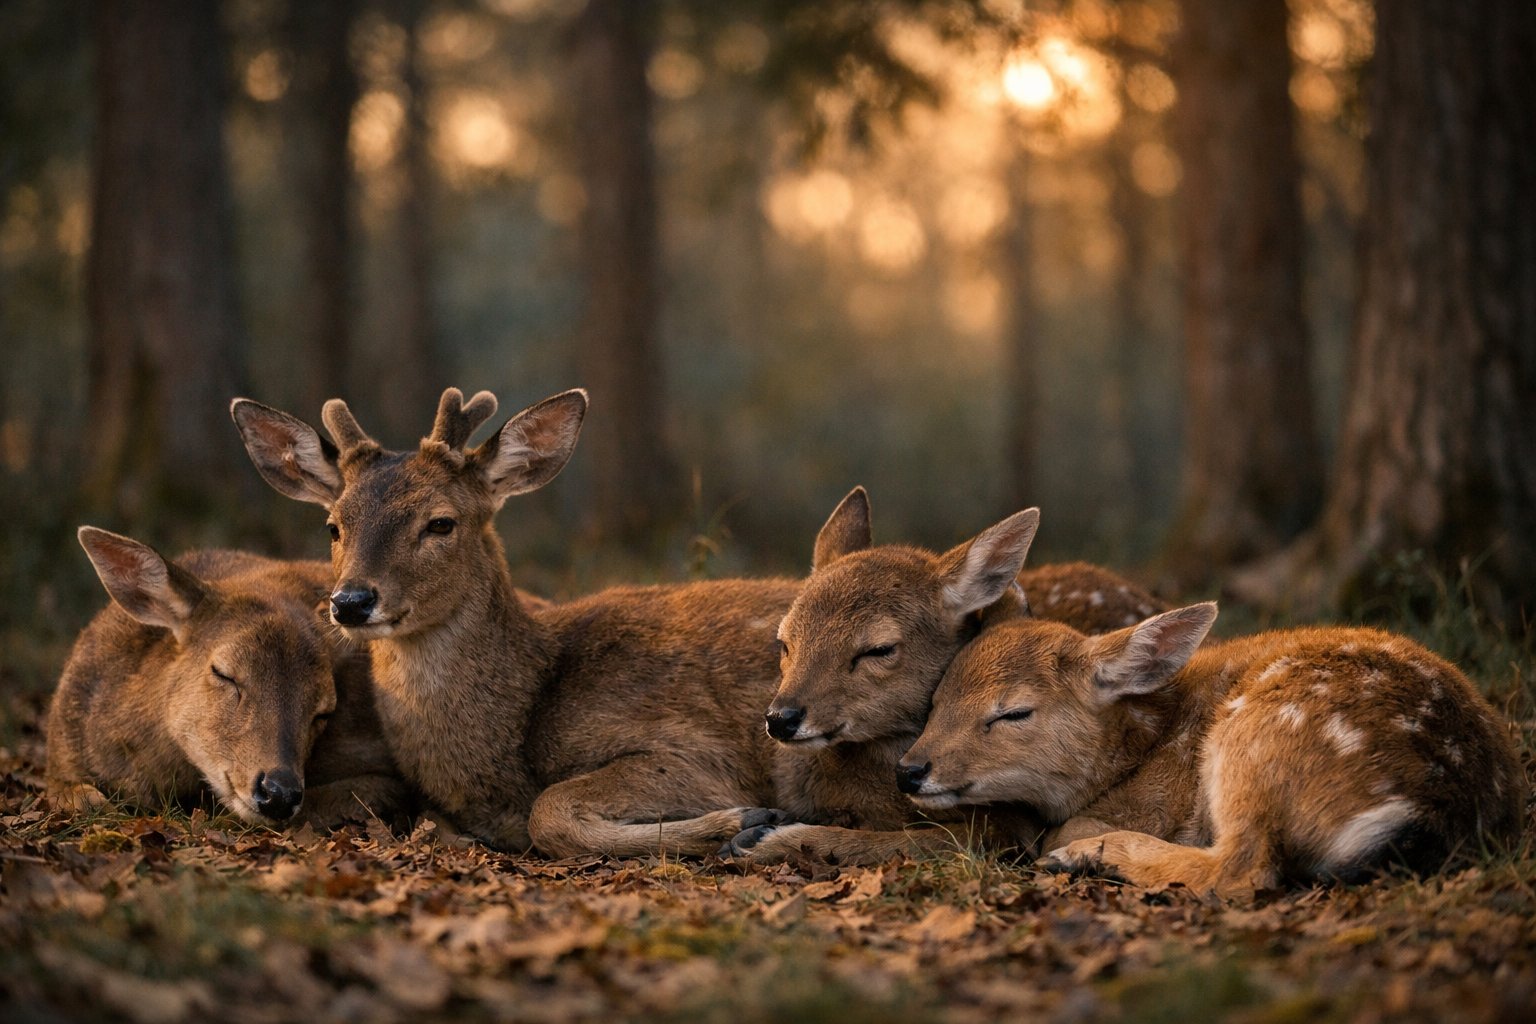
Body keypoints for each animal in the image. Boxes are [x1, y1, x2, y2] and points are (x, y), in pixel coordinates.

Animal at [231, 387, 861, 857]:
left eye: (441, 523)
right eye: (333, 526)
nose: (351, 601)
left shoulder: (693, 751)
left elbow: (549, 811)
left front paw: (743, 821)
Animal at [724, 488, 1167, 865]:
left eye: (878, 649)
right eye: (784, 641)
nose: (781, 717)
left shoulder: (1012, 816)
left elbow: (921, 841)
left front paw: (766, 839)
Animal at [899, 604, 1526, 896]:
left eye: (1013, 712)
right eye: (937, 697)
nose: (910, 769)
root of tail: (1437, 807)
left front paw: (1071, 844)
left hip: (1254, 738)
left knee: (1243, 868)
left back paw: (1088, 855)